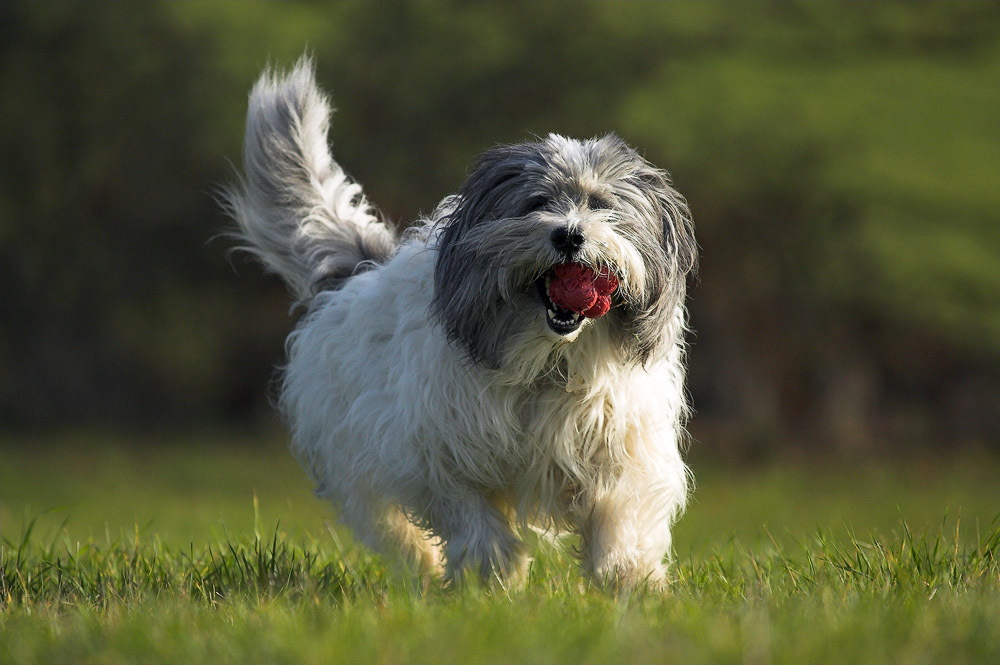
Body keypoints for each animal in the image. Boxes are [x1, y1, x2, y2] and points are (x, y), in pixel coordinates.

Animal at [224, 55, 700, 588]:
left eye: (602, 207)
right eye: (537, 203)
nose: (570, 235)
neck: (547, 359)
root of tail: (359, 273)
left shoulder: (623, 447)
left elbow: (619, 515)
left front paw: (628, 581)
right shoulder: (438, 452)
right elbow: (473, 517)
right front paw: (491, 579)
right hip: (355, 457)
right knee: (390, 525)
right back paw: (424, 571)